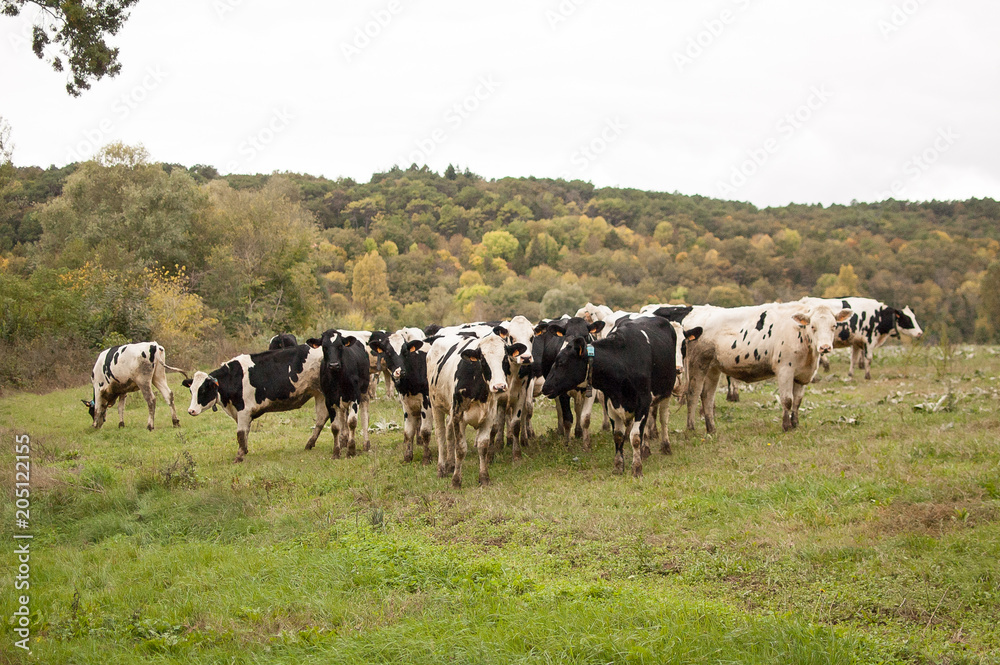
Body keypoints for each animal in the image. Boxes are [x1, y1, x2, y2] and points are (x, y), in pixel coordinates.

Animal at [182, 342, 330, 462]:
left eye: (202, 390)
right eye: (191, 391)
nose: (191, 410)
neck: (232, 377)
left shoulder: (243, 410)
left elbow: (240, 433)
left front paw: (239, 456)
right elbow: (245, 432)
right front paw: (245, 450)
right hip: (320, 395)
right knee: (321, 419)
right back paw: (309, 444)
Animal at [304, 330, 376, 460]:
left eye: (340, 346)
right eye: (324, 347)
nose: (333, 365)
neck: (337, 378)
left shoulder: (354, 396)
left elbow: (352, 422)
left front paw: (351, 450)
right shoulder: (329, 400)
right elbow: (335, 427)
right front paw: (336, 452)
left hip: (364, 392)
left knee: (364, 415)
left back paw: (366, 444)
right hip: (340, 400)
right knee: (342, 416)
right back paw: (343, 442)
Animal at [426, 328, 528, 488]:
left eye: (505, 359)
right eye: (484, 361)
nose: (499, 386)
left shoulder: (489, 416)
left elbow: (483, 446)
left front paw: (484, 478)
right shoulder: (458, 416)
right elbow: (461, 448)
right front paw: (456, 481)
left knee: (448, 433)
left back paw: (450, 465)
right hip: (436, 404)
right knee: (441, 436)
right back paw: (442, 469)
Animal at [544, 316, 684, 478]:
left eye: (561, 362)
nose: (545, 387)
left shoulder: (643, 402)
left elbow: (635, 436)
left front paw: (637, 468)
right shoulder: (610, 402)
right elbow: (618, 435)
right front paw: (618, 466)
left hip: (666, 392)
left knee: (663, 419)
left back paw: (666, 446)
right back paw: (645, 450)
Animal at [664, 302, 852, 436]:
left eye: (834, 326)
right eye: (813, 326)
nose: (825, 347)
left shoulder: (801, 375)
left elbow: (797, 401)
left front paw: (795, 424)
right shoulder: (785, 370)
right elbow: (787, 400)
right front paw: (786, 426)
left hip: (713, 368)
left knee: (707, 396)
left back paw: (711, 428)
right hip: (698, 364)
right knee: (693, 394)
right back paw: (691, 427)